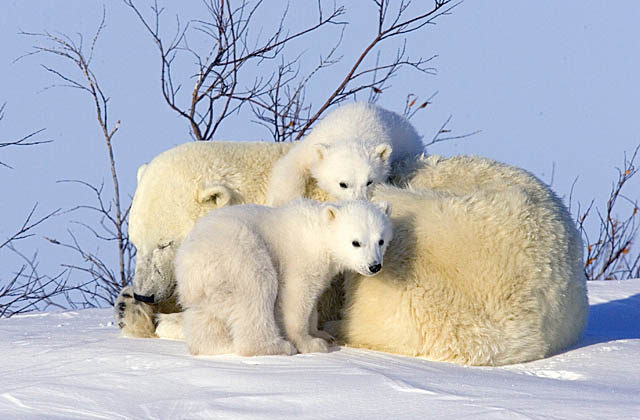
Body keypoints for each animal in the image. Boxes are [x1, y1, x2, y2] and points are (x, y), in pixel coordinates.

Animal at [172, 199, 390, 356]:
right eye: (356, 242)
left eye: (381, 240)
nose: (374, 266)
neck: (319, 235)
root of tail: (193, 262)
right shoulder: (301, 260)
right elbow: (297, 297)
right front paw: (311, 343)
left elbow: (313, 302)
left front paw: (322, 334)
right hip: (240, 256)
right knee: (257, 292)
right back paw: (277, 347)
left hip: (206, 288)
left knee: (204, 317)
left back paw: (218, 346)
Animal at [264, 102, 424, 207]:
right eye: (343, 184)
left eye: (369, 182)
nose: (359, 203)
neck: (354, 131)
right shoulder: (313, 145)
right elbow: (291, 165)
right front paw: (282, 201)